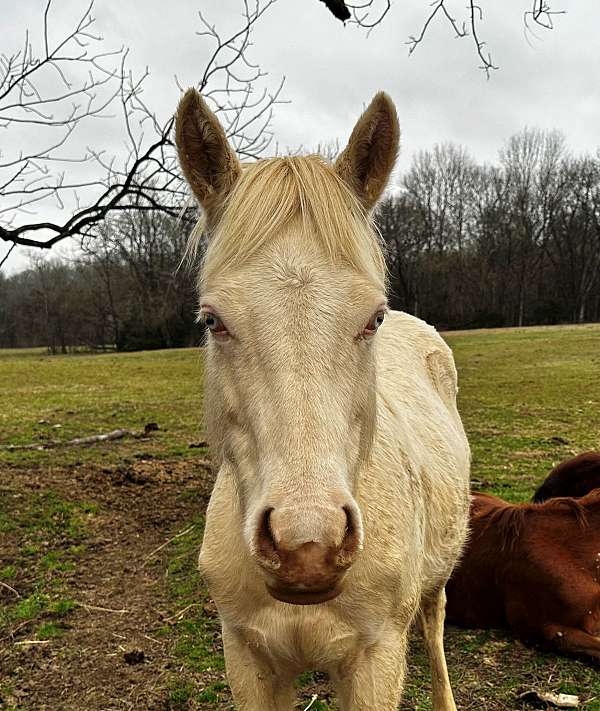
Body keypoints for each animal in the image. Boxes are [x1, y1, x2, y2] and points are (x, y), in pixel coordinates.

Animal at [176, 90, 472, 711]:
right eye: (213, 321)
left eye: (373, 317)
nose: (307, 546)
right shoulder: (248, 659)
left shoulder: (376, 662)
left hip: (439, 574)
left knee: (434, 627)